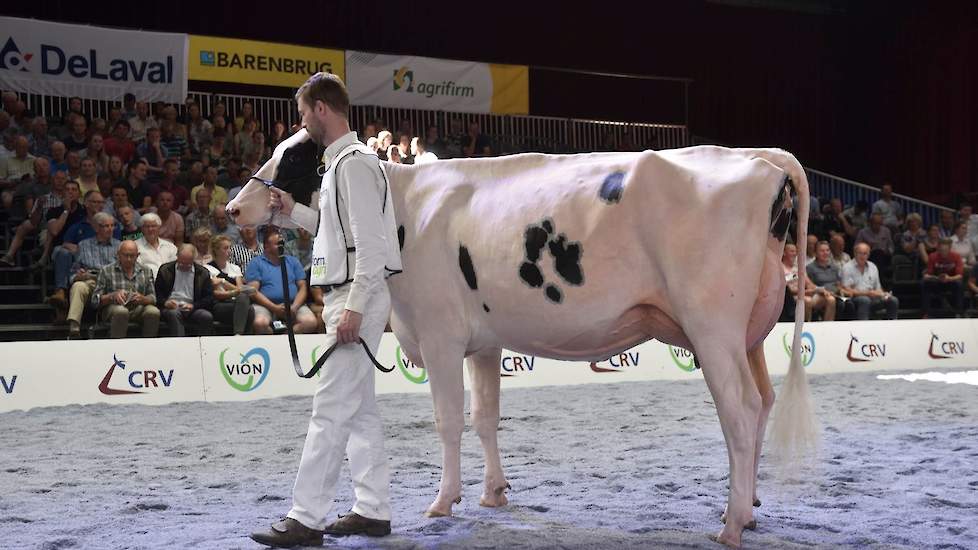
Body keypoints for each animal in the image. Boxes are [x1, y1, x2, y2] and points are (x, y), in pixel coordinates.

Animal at [229, 128, 816, 548]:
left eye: (294, 157)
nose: (234, 208)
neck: (404, 206)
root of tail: (762, 159)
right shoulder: (485, 341)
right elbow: (485, 417)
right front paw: (493, 494)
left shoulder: (440, 335)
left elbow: (448, 421)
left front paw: (443, 502)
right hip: (748, 336)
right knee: (763, 401)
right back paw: (747, 509)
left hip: (712, 329)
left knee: (740, 410)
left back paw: (732, 524)